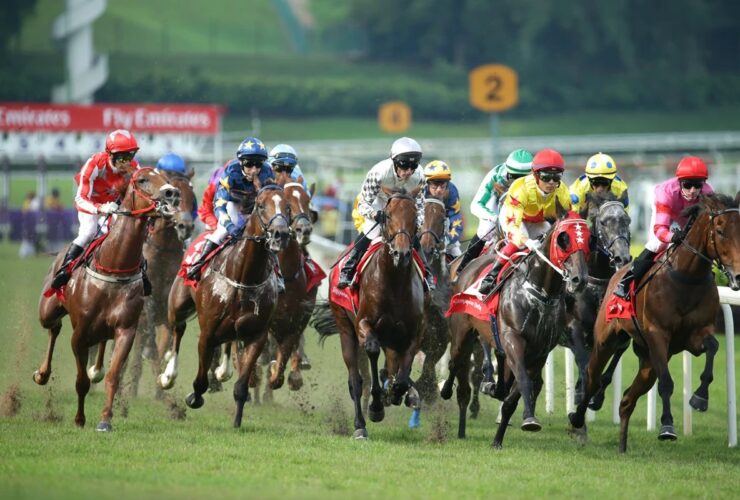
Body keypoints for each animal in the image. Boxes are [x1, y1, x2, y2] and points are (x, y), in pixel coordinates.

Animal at [33, 167, 181, 431]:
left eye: (165, 179)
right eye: (142, 179)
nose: (171, 193)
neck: (115, 265)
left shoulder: (126, 329)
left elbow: (114, 375)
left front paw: (105, 419)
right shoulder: (79, 334)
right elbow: (81, 380)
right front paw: (80, 419)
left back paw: (96, 370)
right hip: (47, 310)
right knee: (53, 327)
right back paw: (42, 374)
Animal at [158, 184, 291, 427]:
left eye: (287, 207)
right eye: (261, 205)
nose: (281, 234)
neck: (245, 276)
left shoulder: (257, 335)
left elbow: (241, 386)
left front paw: (237, 422)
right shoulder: (207, 333)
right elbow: (200, 380)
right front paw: (193, 397)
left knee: (228, 340)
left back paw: (223, 370)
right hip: (177, 305)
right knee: (177, 331)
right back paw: (168, 375)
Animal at [311, 186, 425, 439]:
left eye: (415, 217)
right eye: (388, 216)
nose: (402, 253)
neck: (394, 282)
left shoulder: (412, 333)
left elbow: (402, 376)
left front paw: (397, 393)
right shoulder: (364, 324)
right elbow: (372, 354)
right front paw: (376, 407)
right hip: (345, 328)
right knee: (356, 380)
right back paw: (360, 424)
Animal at [442, 203, 590, 447]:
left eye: (588, 238)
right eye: (563, 238)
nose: (580, 279)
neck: (540, 292)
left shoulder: (539, 352)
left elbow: (517, 392)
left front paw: (501, 437)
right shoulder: (514, 339)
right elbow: (524, 381)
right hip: (462, 330)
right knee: (455, 361)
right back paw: (445, 390)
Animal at [564, 191, 631, 406]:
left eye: (627, 220)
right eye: (602, 222)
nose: (622, 258)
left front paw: (598, 394)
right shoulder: (574, 327)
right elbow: (583, 362)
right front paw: (582, 393)